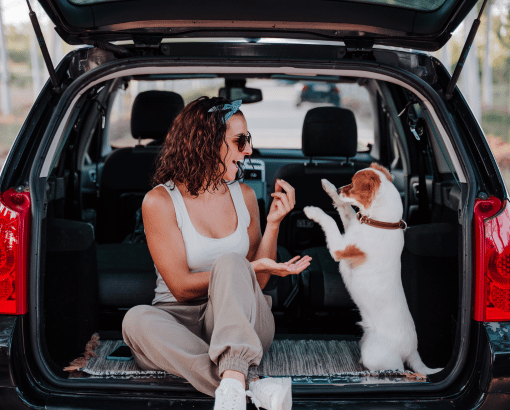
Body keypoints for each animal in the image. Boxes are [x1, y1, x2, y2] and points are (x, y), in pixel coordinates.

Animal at [302, 163, 442, 374]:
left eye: (352, 185)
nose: (339, 189)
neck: (381, 224)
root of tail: (412, 351)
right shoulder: (352, 223)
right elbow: (344, 207)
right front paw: (328, 186)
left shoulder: (340, 247)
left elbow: (330, 221)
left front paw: (313, 211)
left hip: (376, 355)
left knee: (397, 368)